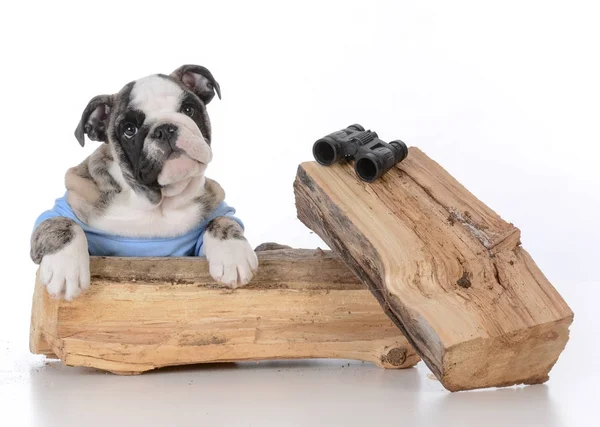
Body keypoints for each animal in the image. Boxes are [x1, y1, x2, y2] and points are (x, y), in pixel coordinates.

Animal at [29, 66, 258, 300]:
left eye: (188, 109)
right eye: (129, 130)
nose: (165, 129)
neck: (157, 203)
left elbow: (221, 220)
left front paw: (232, 253)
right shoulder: (62, 210)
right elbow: (60, 224)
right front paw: (65, 268)